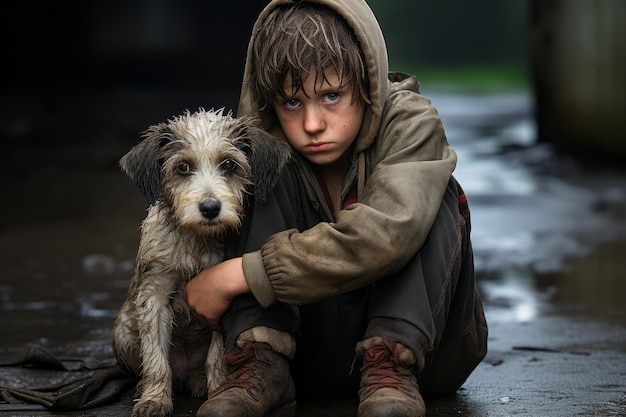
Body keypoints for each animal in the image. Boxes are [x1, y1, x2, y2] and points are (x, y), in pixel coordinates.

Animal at [111, 108, 290, 416]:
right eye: (183, 167)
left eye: (229, 164)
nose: (209, 208)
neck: (195, 241)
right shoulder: (154, 293)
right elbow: (156, 359)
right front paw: (154, 400)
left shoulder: (219, 298)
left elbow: (216, 357)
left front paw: (218, 389)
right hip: (122, 331)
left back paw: (198, 380)